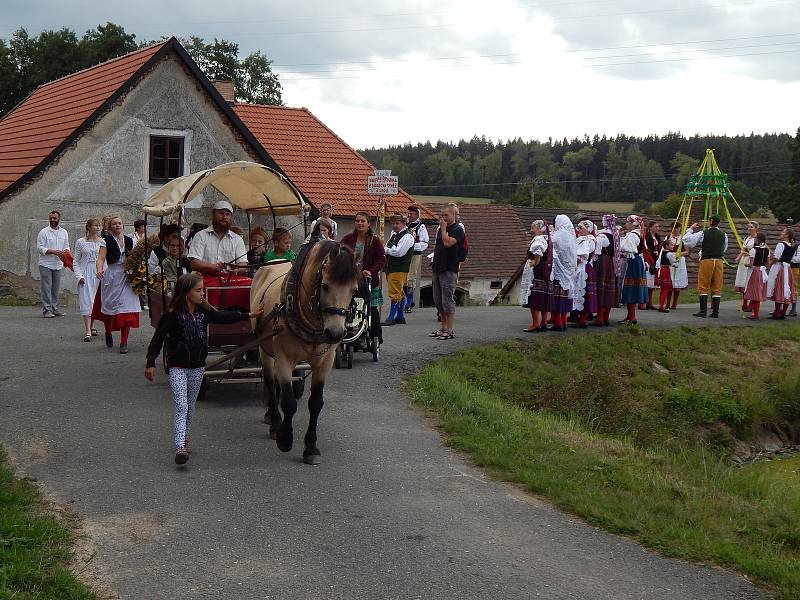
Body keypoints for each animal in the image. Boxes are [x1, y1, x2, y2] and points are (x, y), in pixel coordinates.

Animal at [248, 239, 358, 464]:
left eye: (354, 290)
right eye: (325, 285)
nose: (335, 333)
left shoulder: (325, 362)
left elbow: (315, 403)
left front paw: (311, 447)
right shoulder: (284, 359)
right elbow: (289, 402)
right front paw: (285, 438)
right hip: (264, 349)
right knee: (271, 382)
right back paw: (275, 421)